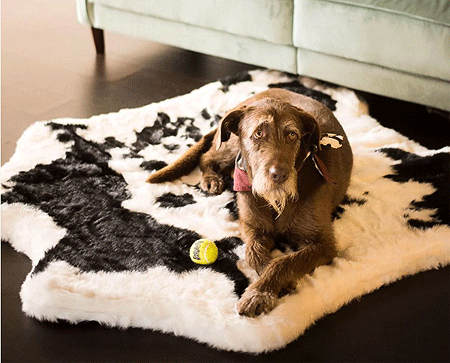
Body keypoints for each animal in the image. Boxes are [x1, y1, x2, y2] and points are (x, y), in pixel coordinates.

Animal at [147, 89, 352, 318]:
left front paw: (261, 292)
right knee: (206, 156)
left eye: (292, 134)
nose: (280, 175)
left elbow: (284, 262)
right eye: (259, 133)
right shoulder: (252, 227)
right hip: (230, 145)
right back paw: (211, 179)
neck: (274, 201)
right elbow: (254, 253)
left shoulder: (323, 244)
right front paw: (269, 286)